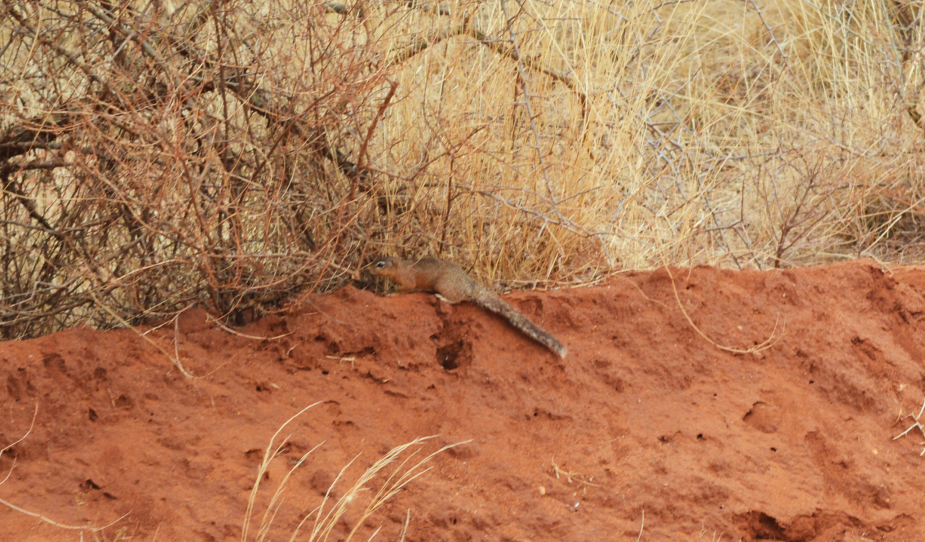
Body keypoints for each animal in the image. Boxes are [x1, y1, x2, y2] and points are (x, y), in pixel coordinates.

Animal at [368, 258, 564, 360]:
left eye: (380, 264)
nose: (368, 268)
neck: (401, 266)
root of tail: (469, 286)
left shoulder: (408, 281)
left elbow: (406, 288)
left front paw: (392, 293)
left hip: (444, 285)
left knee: (457, 300)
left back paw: (442, 297)